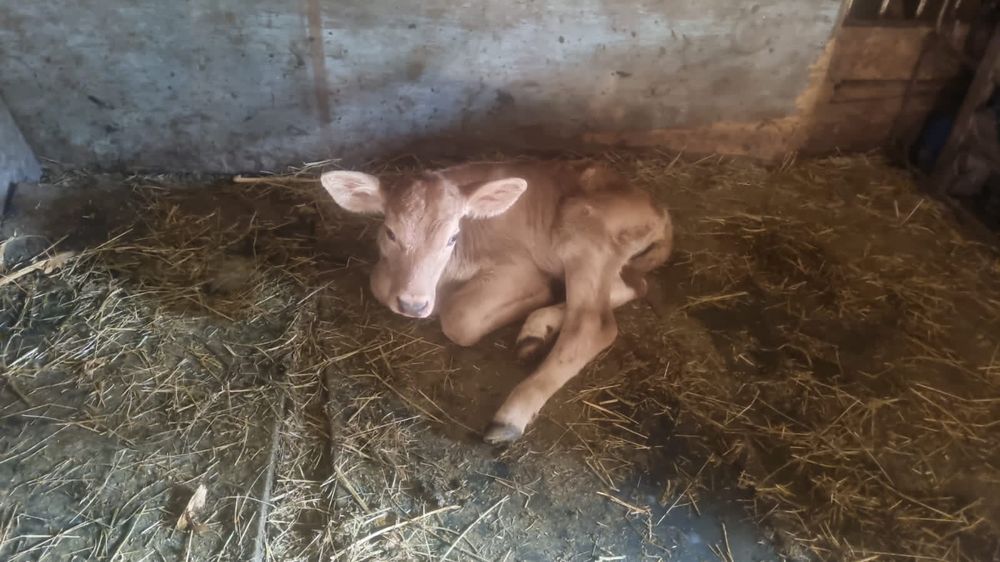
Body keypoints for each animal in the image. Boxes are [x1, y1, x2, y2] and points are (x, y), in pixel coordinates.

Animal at [320, 159, 673, 444]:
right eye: (391, 233)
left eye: (452, 237)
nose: (413, 305)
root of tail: (658, 209)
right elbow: (379, 283)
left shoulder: (518, 268)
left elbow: (459, 318)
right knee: (631, 286)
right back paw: (536, 330)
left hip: (583, 227)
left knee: (591, 322)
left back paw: (510, 417)